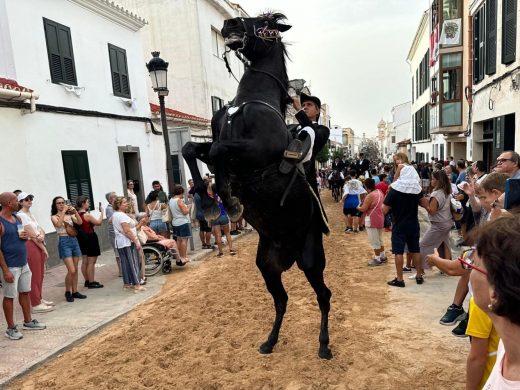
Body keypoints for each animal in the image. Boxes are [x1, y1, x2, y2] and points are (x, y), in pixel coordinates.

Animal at [181, 12, 332, 360]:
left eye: (267, 24)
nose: (232, 24)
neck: (251, 102)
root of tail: (288, 253)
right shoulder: (217, 145)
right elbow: (192, 149)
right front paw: (209, 204)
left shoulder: (257, 150)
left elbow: (219, 152)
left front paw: (228, 199)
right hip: (267, 267)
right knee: (282, 300)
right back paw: (270, 341)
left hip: (311, 261)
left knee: (324, 296)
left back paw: (323, 345)